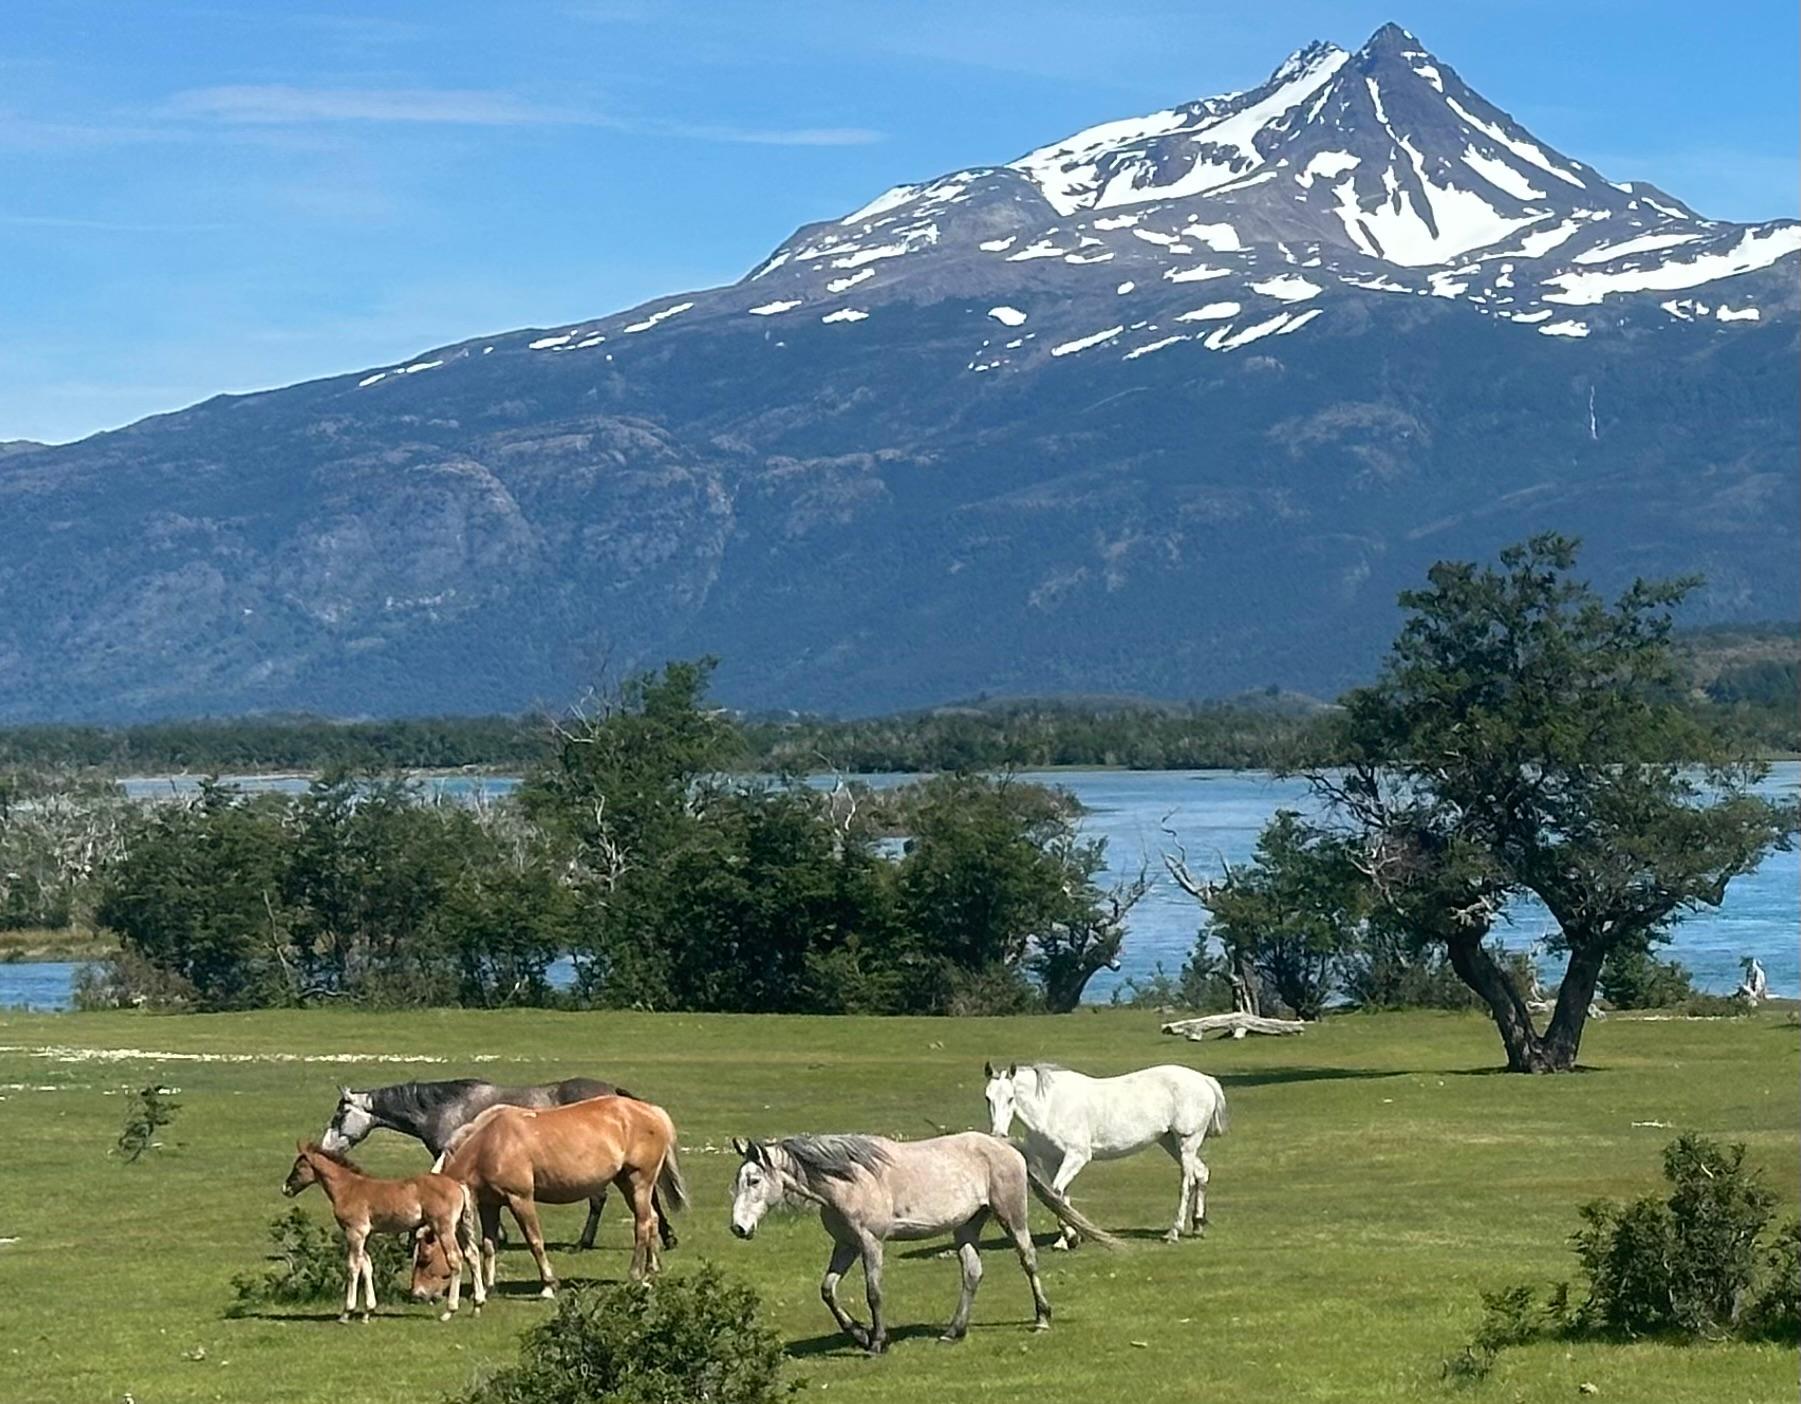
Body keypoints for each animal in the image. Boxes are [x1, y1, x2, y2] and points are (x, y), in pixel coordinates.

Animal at [280, 1137, 482, 1324]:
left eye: (298, 1167)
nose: (286, 1188)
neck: (347, 1188)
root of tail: (458, 1185)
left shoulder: (355, 1232)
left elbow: (353, 1266)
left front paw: (346, 1313)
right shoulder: (365, 1234)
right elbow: (367, 1265)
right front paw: (368, 1312)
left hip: (444, 1228)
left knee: (455, 1259)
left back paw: (449, 1311)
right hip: (461, 1227)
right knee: (472, 1255)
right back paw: (477, 1306)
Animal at [316, 1072, 677, 1252]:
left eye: (339, 1115)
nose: (325, 1148)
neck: (445, 1107)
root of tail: (613, 1091)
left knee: (602, 1201)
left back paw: (585, 1242)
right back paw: (667, 1237)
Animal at [412, 1094, 684, 1303]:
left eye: (424, 1258)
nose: (417, 1294)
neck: (489, 1143)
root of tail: (652, 1111)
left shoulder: (520, 1199)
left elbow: (535, 1242)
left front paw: (548, 1285)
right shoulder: (490, 1204)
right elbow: (489, 1245)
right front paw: (489, 1287)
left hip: (639, 1182)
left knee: (642, 1225)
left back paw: (636, 1274)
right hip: (627, 1183)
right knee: (652, 1220)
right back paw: (651, 1272)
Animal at [731, 1130, 1109, 1346]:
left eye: (754, 1181)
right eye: (739, 1180)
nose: (738, 1228)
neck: (850, 1180)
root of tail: (1006, 1146)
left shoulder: (871, 1243)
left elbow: (873, 1292)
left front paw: (877, 1341)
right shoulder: (847, 1245)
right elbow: (827, 1290)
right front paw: (858, 1333)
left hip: (1011, 1216)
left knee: (1028, 1259)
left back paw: (1042, 1318)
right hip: (966, 1226)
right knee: (972, 1273)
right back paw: (953, 1331)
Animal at [986, 1058, 1224, 1245]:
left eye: (1010, 1098)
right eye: (988, 1098)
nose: (998, 1134)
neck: (1052, 1106)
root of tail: (1204, 1080)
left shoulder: (1077, 1156)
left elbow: (1056, 1192)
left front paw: (1071, 1236)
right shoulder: (1053, 1161)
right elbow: (1061, 1196)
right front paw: (1067, 1239)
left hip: (1187, 1142)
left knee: (1187, 1182)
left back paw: (1174, 1232)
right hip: (1171, 1143)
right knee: (1201, 1173)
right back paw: (1197, 1225)